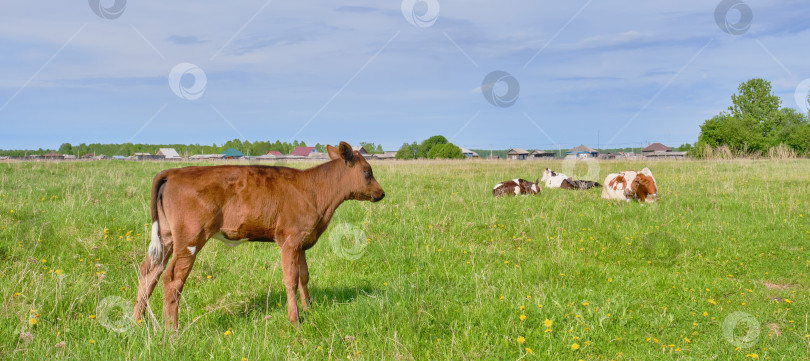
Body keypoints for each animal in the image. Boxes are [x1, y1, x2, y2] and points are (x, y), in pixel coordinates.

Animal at [133, 141, 386, 326]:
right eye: (367, 171)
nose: (381, 193)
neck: (316, 192)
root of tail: (174, 171)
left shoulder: (302, 240)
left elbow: (304, 276)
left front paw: (308, 308)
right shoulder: (289, 239)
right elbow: (290, 279)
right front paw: (295, 320)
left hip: (166, 236)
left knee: (149, 270)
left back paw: (137, 322)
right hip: (190, 237)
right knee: (172, 278)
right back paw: (172, 331)